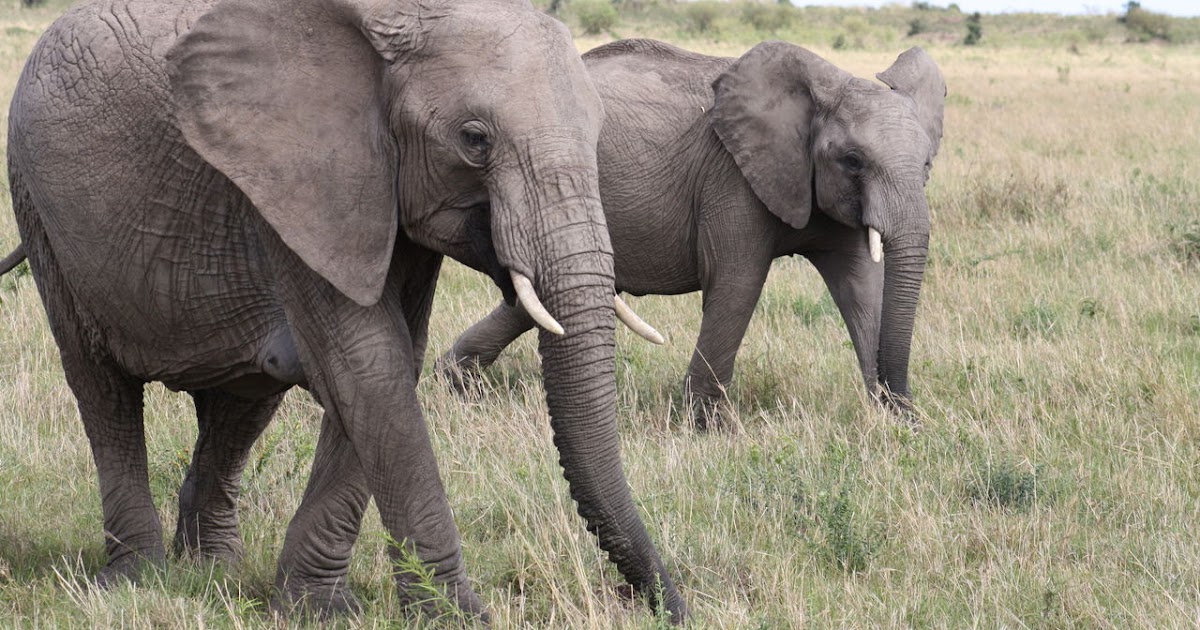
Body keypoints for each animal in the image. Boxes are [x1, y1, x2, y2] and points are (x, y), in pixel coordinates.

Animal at [4, 1, 685, 622]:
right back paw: (135, 579)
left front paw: (317, 608)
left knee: (243, 401)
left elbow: (392, 362)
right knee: (103, 390)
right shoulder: (299, 180)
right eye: (474, 140)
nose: (664, 605)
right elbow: (368, 366)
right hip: (39, 209)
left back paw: (210, 573)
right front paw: (456, 616)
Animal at [439, 39, 946, 428]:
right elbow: (737, 282)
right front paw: (710, 430)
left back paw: (454, 382)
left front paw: (901, 423)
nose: (904, 405)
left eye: (927, 163)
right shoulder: (732, 176)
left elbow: (862, 288)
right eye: (853, 160)